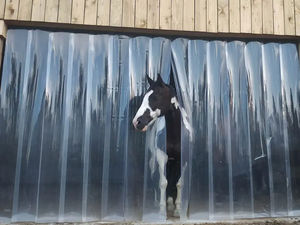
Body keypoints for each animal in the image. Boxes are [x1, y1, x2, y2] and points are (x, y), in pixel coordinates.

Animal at [132, 71, 182, 217]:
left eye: (154, 97)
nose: (137, 122)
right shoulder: (160, 156)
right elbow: (163, 182)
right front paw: (161, 209)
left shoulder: (181, 159)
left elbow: (178, 182)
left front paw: (177, 209)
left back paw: (170, 203)